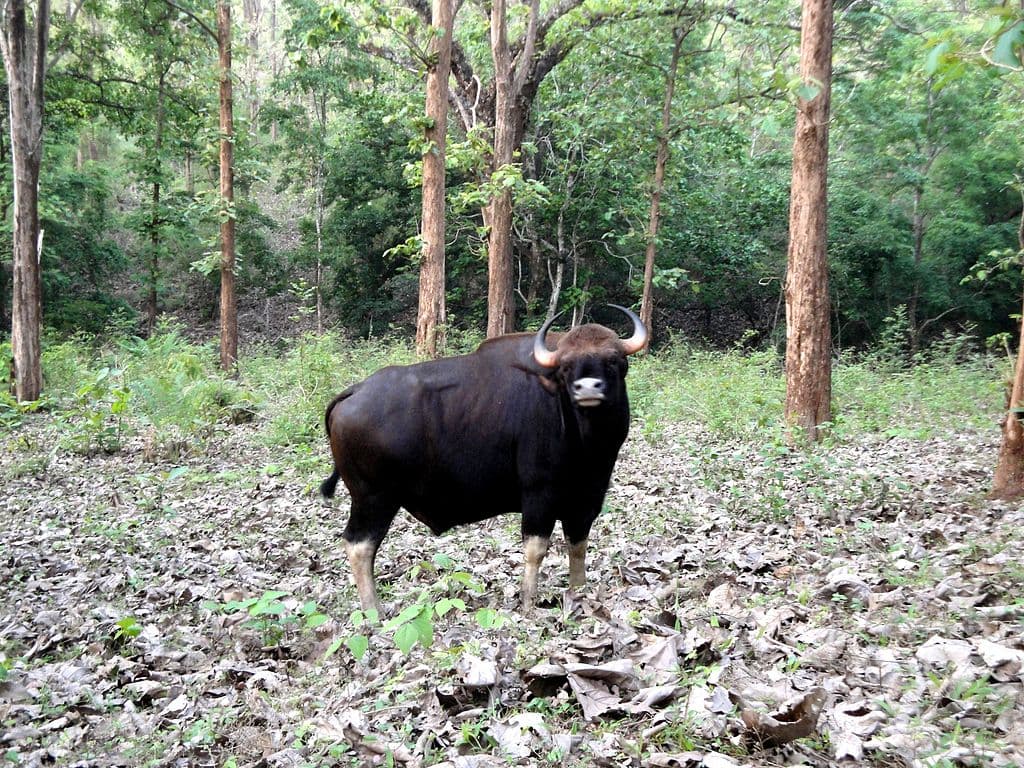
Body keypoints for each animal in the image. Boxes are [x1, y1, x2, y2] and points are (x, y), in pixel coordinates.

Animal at [320, 305, 647, 613]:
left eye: (614, 361)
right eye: (566, 367)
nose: (588, 388)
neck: (583, 441)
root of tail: (355, 391)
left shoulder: (587, 497)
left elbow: (578, 546)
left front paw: (579, 592)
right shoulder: (538, 495)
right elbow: (536, 549)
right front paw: (528, 602)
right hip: (373, 498)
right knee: (359, 545)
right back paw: (372, 609)